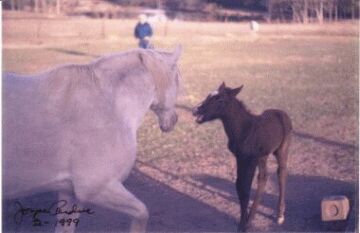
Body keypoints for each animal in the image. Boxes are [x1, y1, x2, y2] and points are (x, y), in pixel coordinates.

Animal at [3, 46, 181, 233]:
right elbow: (142, 213)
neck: (110, 106)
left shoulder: (70, 192)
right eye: (178, 78)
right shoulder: (97, 188)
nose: (174, 120)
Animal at [193, 82, 292, 231]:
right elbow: (240, 186)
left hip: (281, 149)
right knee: (264, 177)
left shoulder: (250, 159)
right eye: (208, 96)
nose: (195, 110)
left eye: (220, 100)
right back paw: (253, 217)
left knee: (281, 173)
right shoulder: (240, 157)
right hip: (263, 155)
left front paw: (244, 225)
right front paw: (243, 222)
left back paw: (279, 214)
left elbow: (245, 188)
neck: (243, 129)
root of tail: (282, 113)